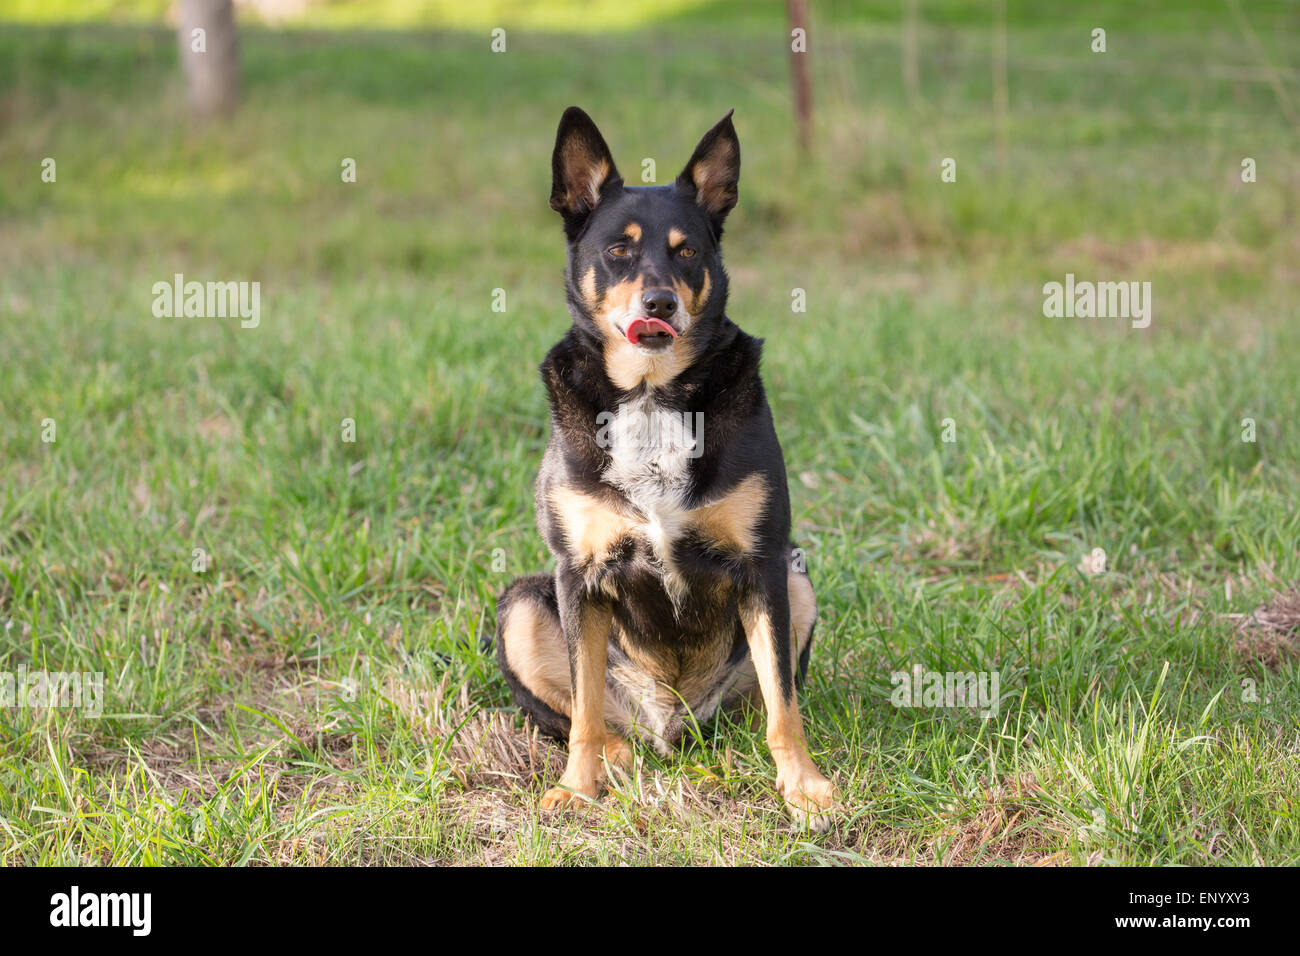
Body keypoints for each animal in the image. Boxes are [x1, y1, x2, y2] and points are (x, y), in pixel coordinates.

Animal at [491, 102, 837, 822]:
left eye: (688, 251)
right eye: (618, 250)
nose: (659, 304)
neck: (651, 394)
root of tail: (670, 724)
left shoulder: (764, 563)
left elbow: (784, 705)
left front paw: (804, 786)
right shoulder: (578, 574)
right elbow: (584, 707)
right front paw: (577, 788)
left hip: (797, 582)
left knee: (761, 702)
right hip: (521, 607)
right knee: (588, 713)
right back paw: (615, 758)